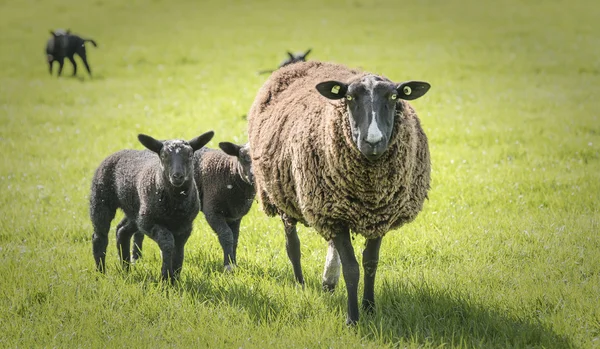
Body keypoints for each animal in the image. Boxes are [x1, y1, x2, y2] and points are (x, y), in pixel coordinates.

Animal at [90, 129, 214, 282]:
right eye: (163, 156)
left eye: (190, 155)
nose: (177, 176)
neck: (175, 204)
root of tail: (119, 152)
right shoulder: (148, 223)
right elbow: (168, 242)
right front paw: (166, 277)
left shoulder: (185, 226)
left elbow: (179, 249)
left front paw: (175, 277)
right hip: (101, 200)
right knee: (99, 237)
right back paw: (100, 273)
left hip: (136, 211)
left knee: (122, 231)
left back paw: (126, 268)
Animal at [129, 140, 255, 270]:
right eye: (243, 157)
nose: (254, 175)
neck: (229, 172)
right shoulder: (212, 211)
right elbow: (226, 236)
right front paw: (228, 266)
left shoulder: (235, 216)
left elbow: (235, 239)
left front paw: (234, 264)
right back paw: (136, 259)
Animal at [245, 60, 432, 324]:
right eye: (350, 97)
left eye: (394, 96)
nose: (373, 141)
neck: (370, 191)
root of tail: (299, 64)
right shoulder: (336, 216)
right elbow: (352, 269)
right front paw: (352, 319)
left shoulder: (380, 216)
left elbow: (370, 263)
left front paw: (369, 308)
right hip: (282, 197)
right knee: (293, 247)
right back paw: (301, 284)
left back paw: (328, 281)